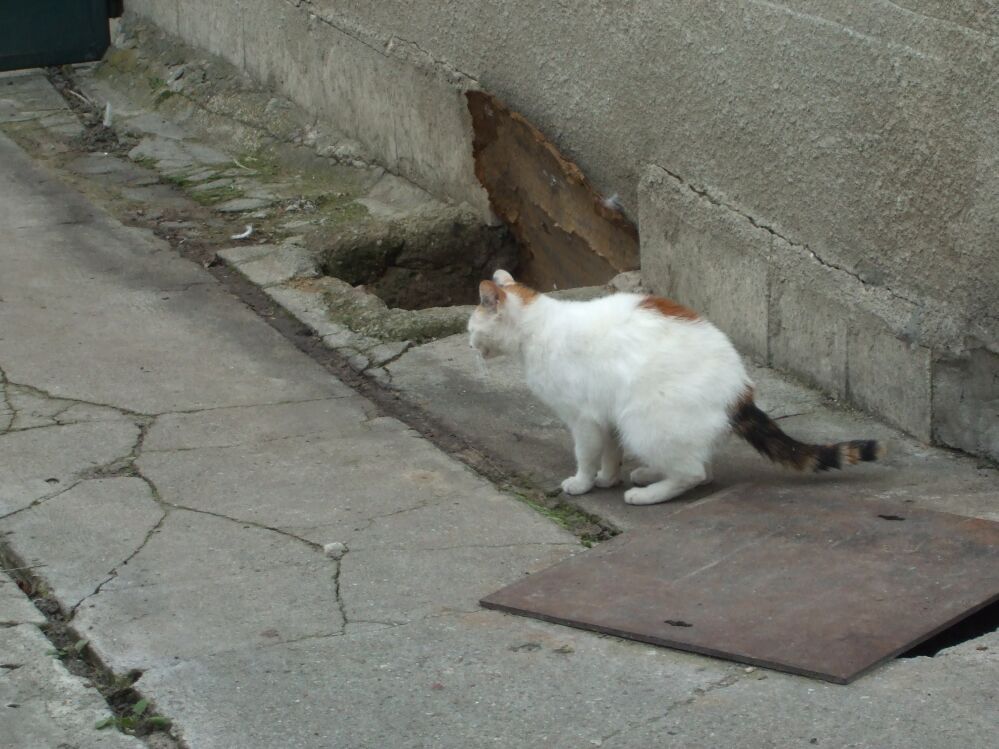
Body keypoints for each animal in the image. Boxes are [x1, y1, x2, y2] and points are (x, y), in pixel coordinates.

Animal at [468, 269, 884, 505]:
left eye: (471, 328)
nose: (469, 343)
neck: (537, 329)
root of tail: (740, 390)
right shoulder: (605, 414)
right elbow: (611, 452)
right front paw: (607, 477)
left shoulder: (583, 418)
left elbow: (586, 454)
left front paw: (583, 483)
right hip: (641, 420)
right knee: (701, 466)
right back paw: (650, 475)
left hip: (644, 418)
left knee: (695, 473)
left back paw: (646, 494)